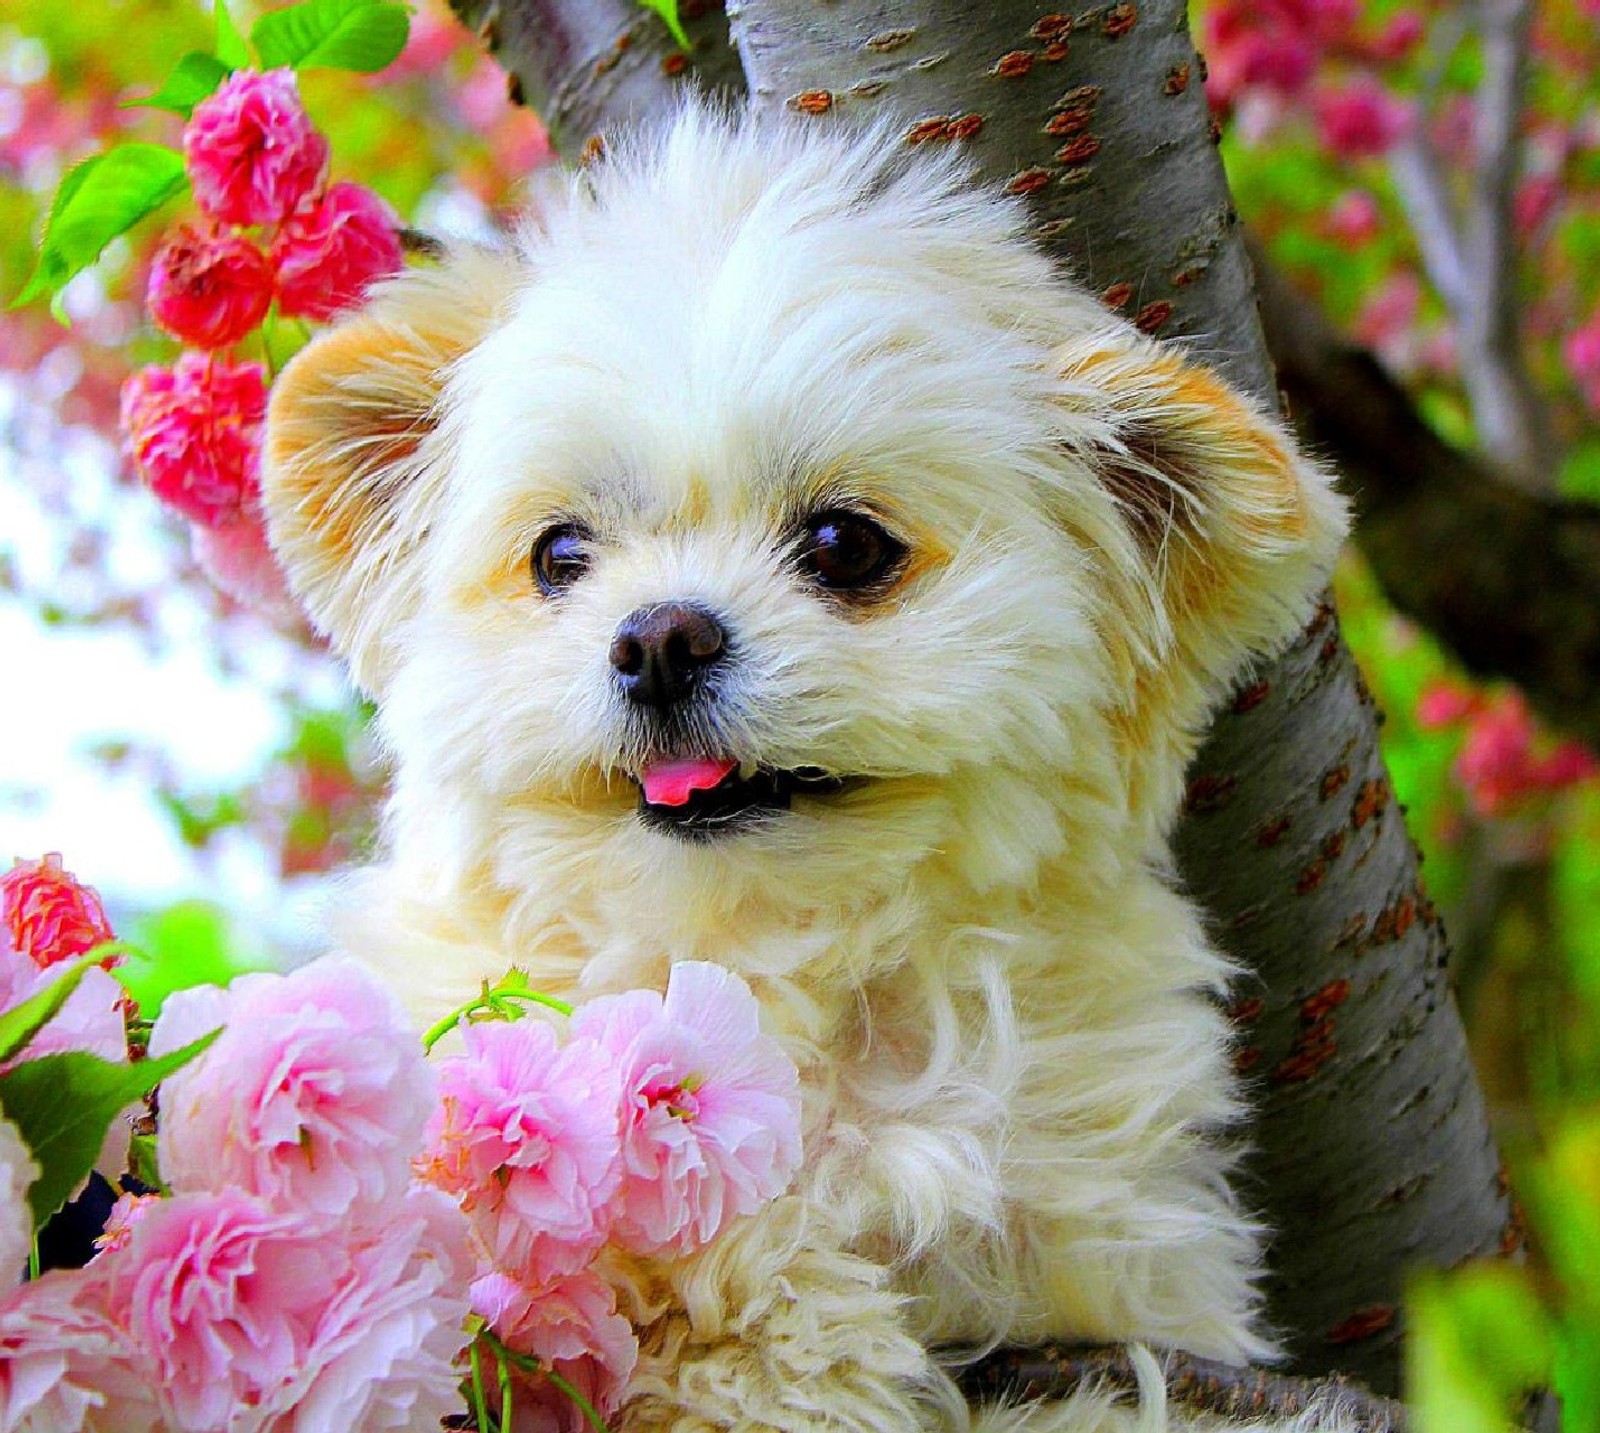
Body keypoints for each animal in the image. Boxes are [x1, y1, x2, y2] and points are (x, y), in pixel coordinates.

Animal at [259, 103, 1350, 1433]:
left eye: (842, 543)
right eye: (560, 555)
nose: (659, 639)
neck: (761, 967)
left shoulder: (1121, 1279)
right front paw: (782, 1329)